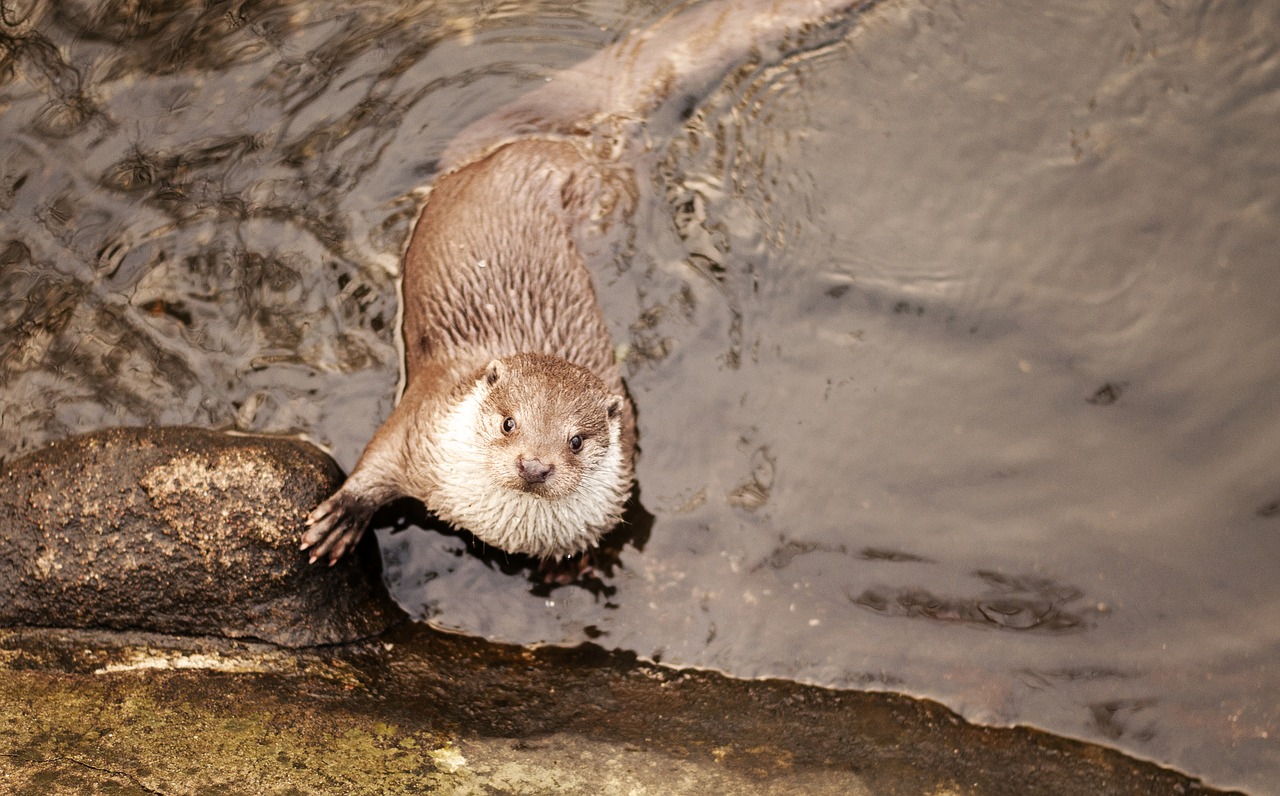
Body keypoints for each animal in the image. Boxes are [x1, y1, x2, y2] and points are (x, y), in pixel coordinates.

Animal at [299, 0, 880, 565]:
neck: (500, 526)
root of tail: (549, 142)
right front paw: (340, 519)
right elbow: (376, 459)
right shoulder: (422, 420)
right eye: (509, 423)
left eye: (576, 441)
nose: (535, 466)